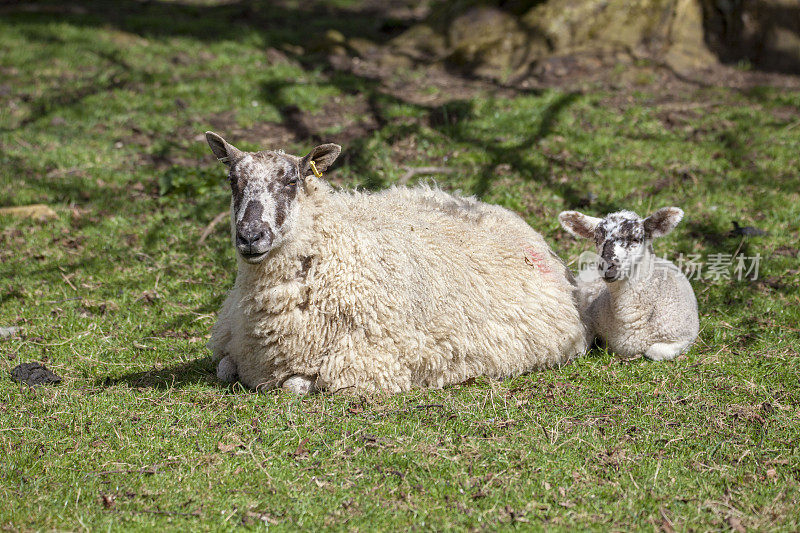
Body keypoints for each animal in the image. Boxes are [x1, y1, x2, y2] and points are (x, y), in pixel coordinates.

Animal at [202, 131, 588, 392]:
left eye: (292, 181)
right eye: (233, 180)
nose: (250, 236)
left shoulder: (363, 367)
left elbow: (294, 386)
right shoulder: (231, 350)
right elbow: (224, 369)